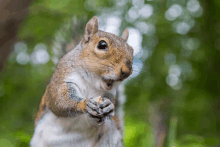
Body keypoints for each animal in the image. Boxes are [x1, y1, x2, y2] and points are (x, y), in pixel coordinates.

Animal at [29, 16, 133, 147]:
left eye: (131, 50)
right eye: (102, 44)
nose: (127, 71)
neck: (91, 82)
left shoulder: (108, 93)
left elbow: (110, 100)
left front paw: (109, 106)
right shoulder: (62, 78)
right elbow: (59, 99)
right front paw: (84, 104)